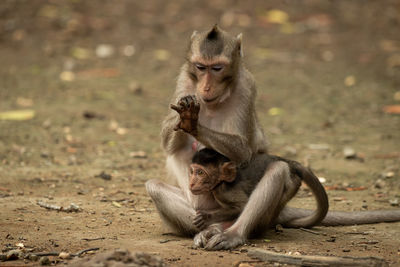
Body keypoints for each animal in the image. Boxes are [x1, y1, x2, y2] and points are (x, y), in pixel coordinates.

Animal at [189, 150, 326, 231]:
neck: (220, 183)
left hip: (292, 183)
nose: (191, 183)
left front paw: (206, 217)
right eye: (192, 172)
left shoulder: (224, 192)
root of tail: (288, 161)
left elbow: (242, 206)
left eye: (200, 172)